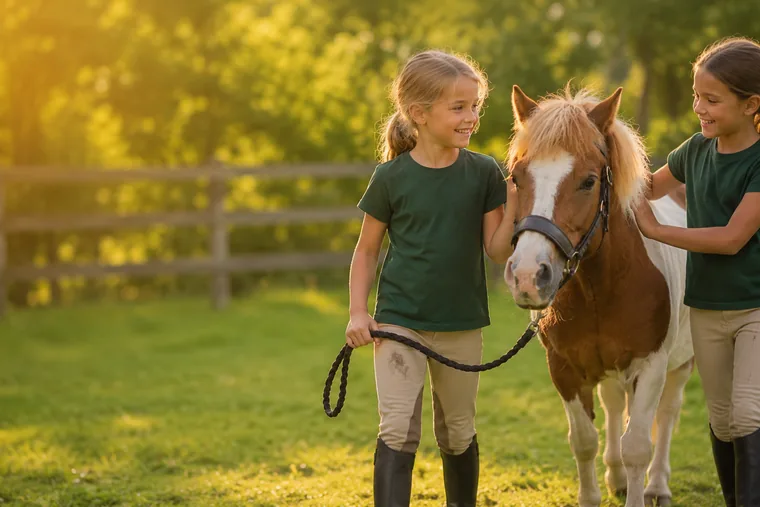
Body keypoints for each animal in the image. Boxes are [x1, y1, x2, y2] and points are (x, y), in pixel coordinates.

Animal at [503, 85, 694, 507]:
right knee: (613, 403)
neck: (600, 287)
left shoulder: (650, 365)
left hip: (682, 363)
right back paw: (618, 477)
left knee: (669, 414)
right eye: (516, 178)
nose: (527, 276)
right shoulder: (564, 369)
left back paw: (657, 485)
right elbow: (584, 441)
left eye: (589, 181)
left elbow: (638, 445)